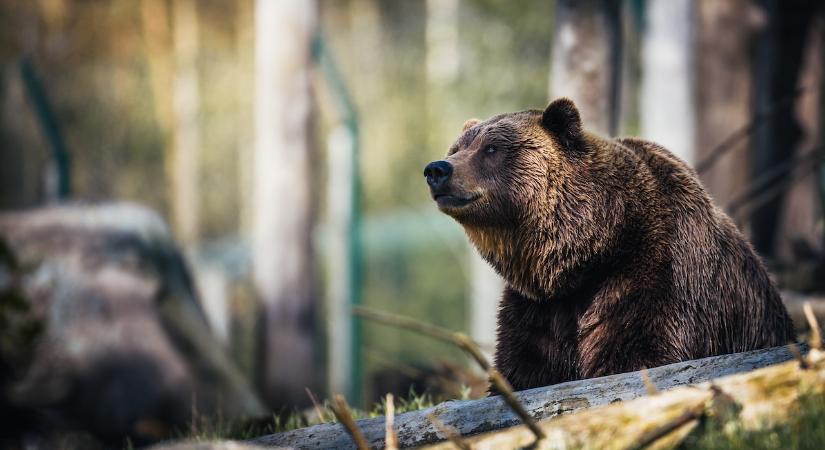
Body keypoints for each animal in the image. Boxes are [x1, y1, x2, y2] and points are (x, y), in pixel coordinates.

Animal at [422, 97, 796, 390]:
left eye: (491, 148)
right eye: (457, 148)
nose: (437, 169)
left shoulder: (656, 274)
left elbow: (638, 353)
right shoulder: (539, 309)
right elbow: (524, 368)